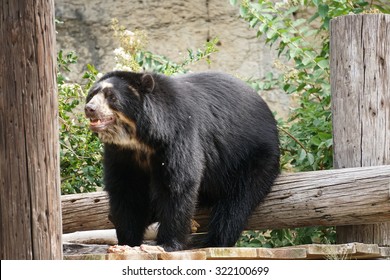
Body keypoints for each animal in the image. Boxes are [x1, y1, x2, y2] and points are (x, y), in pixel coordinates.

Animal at [85, 70, 280, 252]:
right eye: (92, 94)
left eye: (111, 96)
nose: (89, 108)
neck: (140, 140)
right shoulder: (121, 153)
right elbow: (126, 190)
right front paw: (128, 241)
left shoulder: (179, 135)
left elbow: (178, 185)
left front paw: (167, 244)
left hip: (251, 157)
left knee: (237, 202)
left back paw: (213, 241)